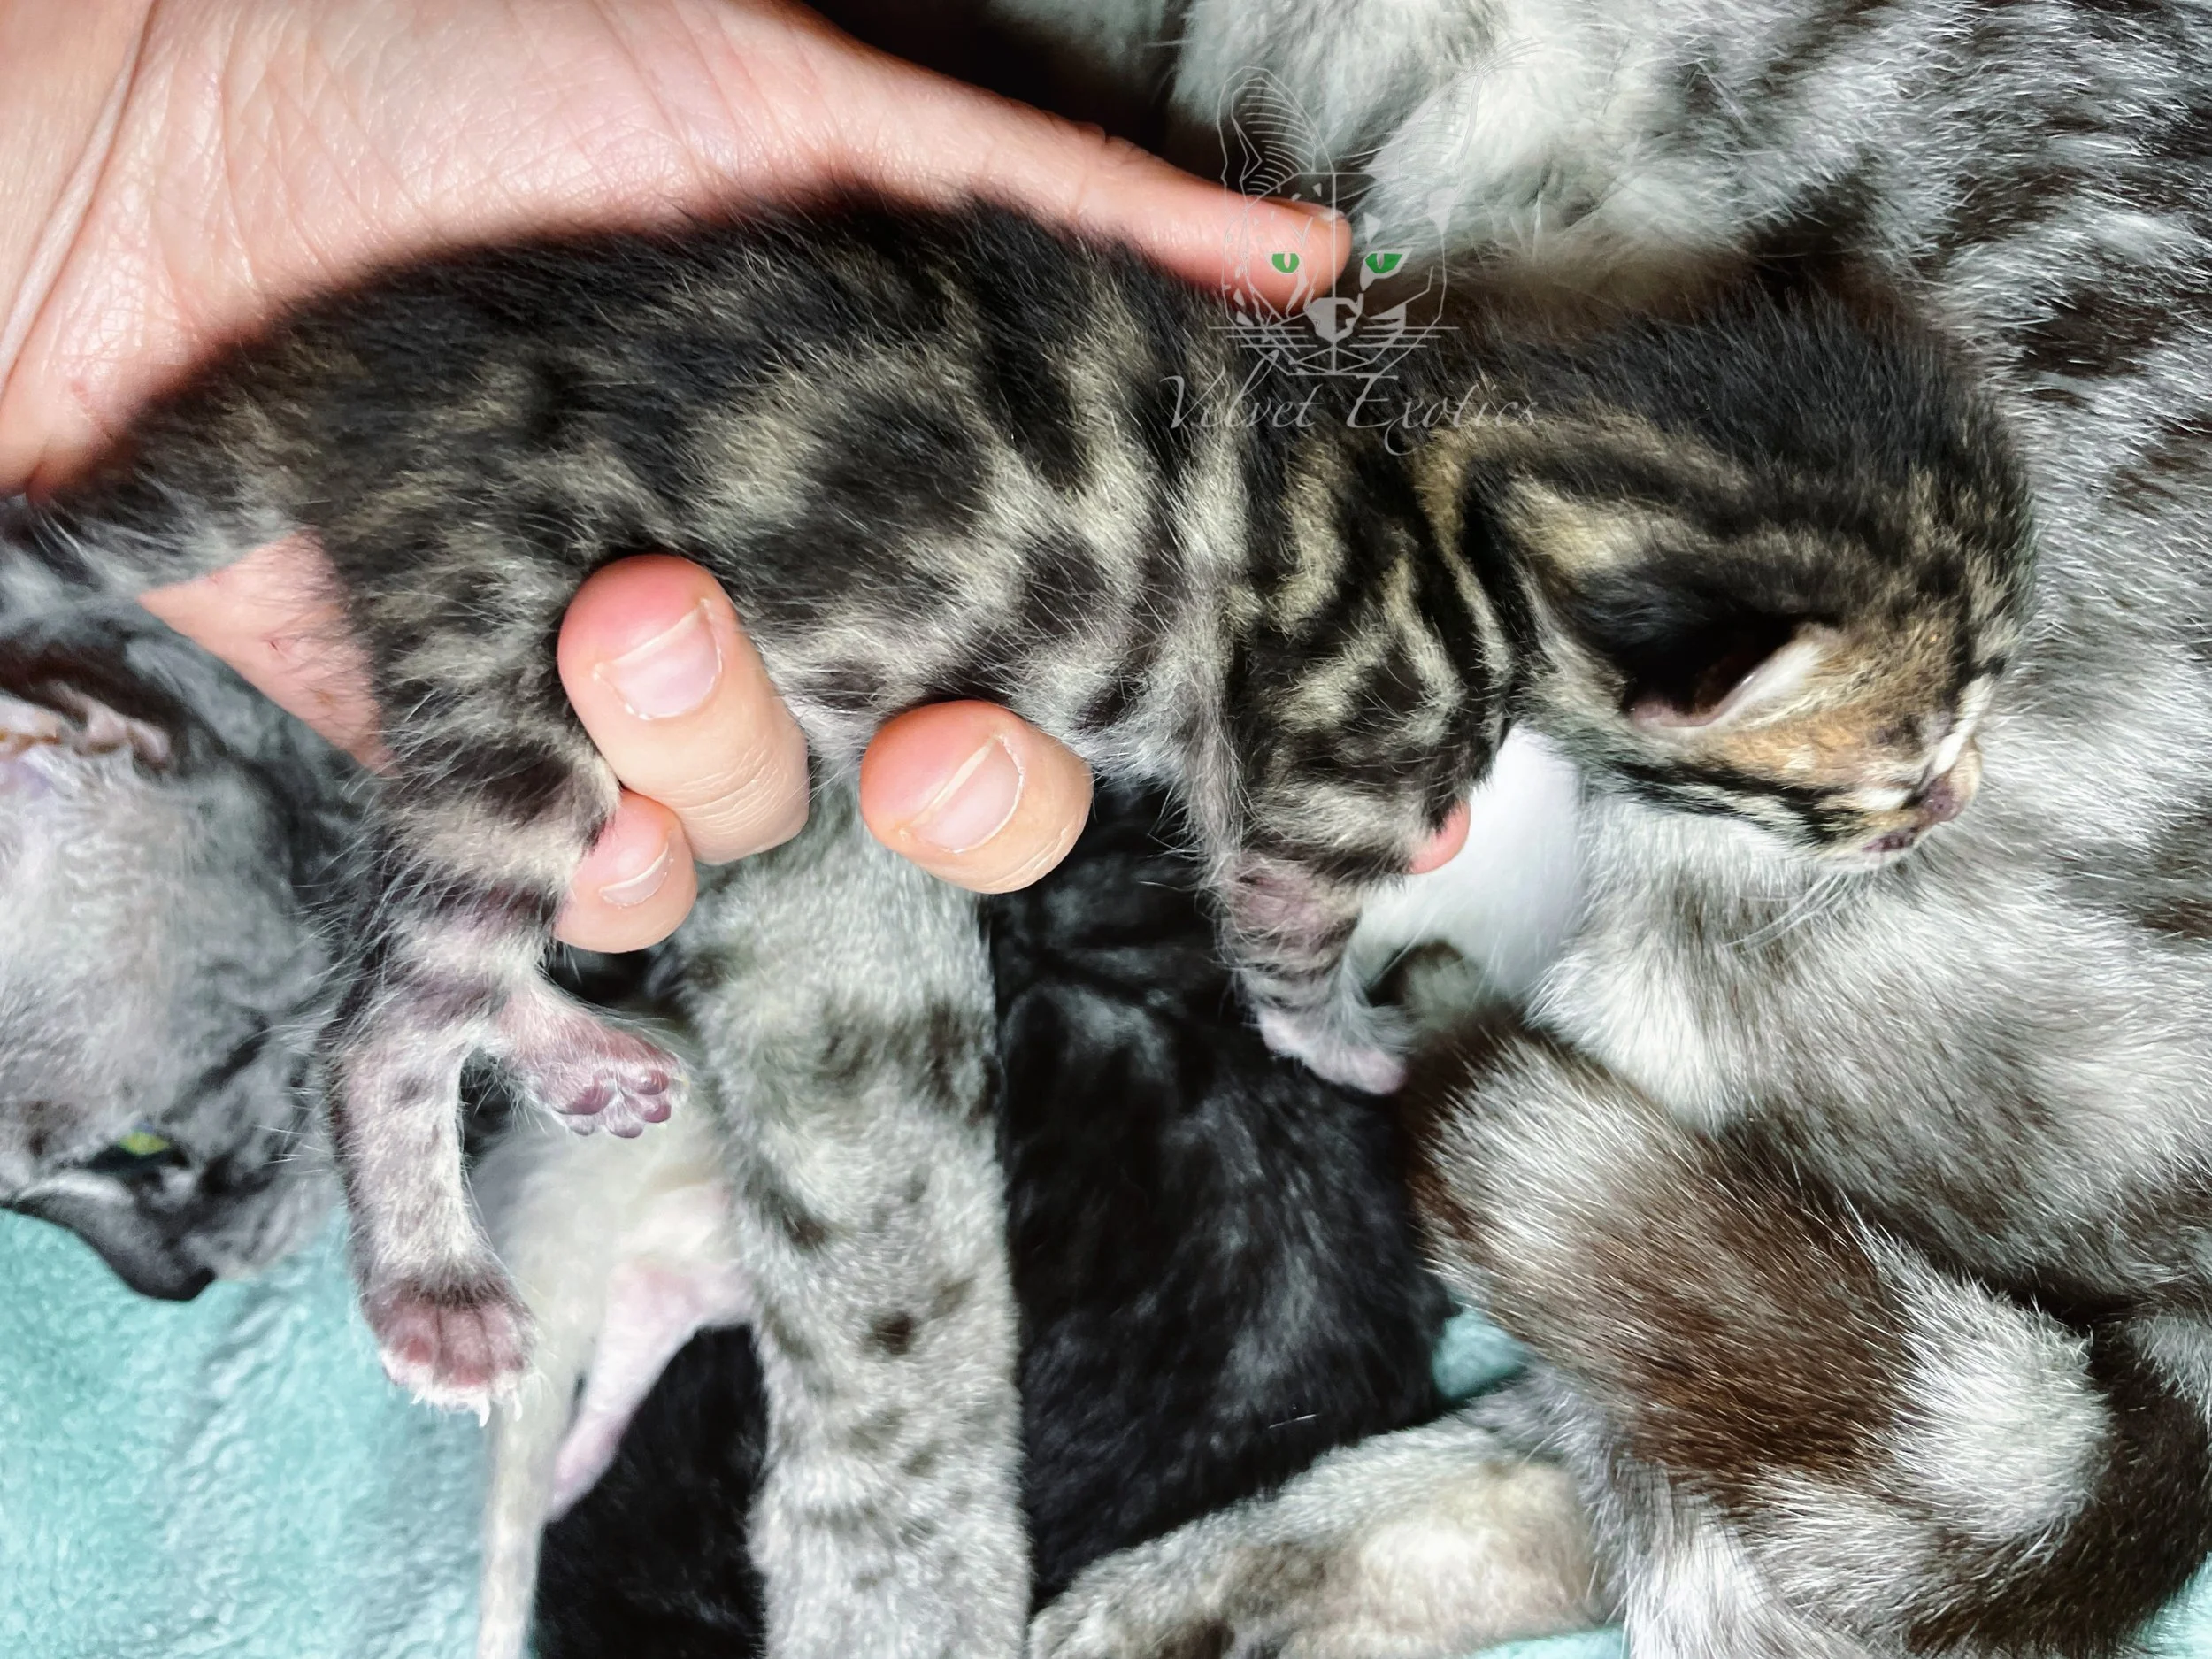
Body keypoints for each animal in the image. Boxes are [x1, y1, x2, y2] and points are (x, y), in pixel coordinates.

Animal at [0, 211, 2031, 1430]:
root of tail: (367, 385)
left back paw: (569, 1046)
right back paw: (430, 1279)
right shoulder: (1318, 783)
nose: (1955, 809)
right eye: (1892, 769)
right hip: (521, 670)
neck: (1464, 496)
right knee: (382, 1014)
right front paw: (1355, 1048)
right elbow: (1279, 942)